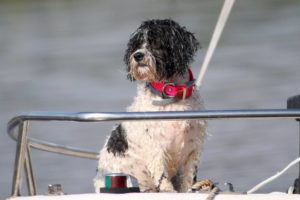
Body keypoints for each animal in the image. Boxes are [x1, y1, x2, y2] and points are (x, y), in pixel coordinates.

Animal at [94, 18, 206, 192]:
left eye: (156, 42)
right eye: (137, 44)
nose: (138, 55)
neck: (170, 97)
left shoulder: (193, 146)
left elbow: (188, 178)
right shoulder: (155, 146)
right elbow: (161, 175)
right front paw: (168, 191)